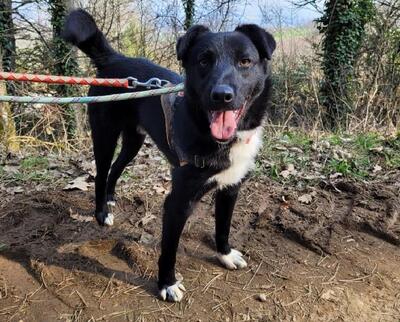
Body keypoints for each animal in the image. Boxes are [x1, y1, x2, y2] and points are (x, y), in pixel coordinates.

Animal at [62, 9, 276, 302]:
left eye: (245, 61)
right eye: (203, 61)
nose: (222, 96)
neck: (215, 136)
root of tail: (115, 58)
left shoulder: (231, 187)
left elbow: (223, 225)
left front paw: (225, 254)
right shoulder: (177, 202)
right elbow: (169, 249)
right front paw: (167, 283)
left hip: (134, 140)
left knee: (116, 168)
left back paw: (111, 198)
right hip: (105, 135)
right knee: (101, 172)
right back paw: (101, 213)